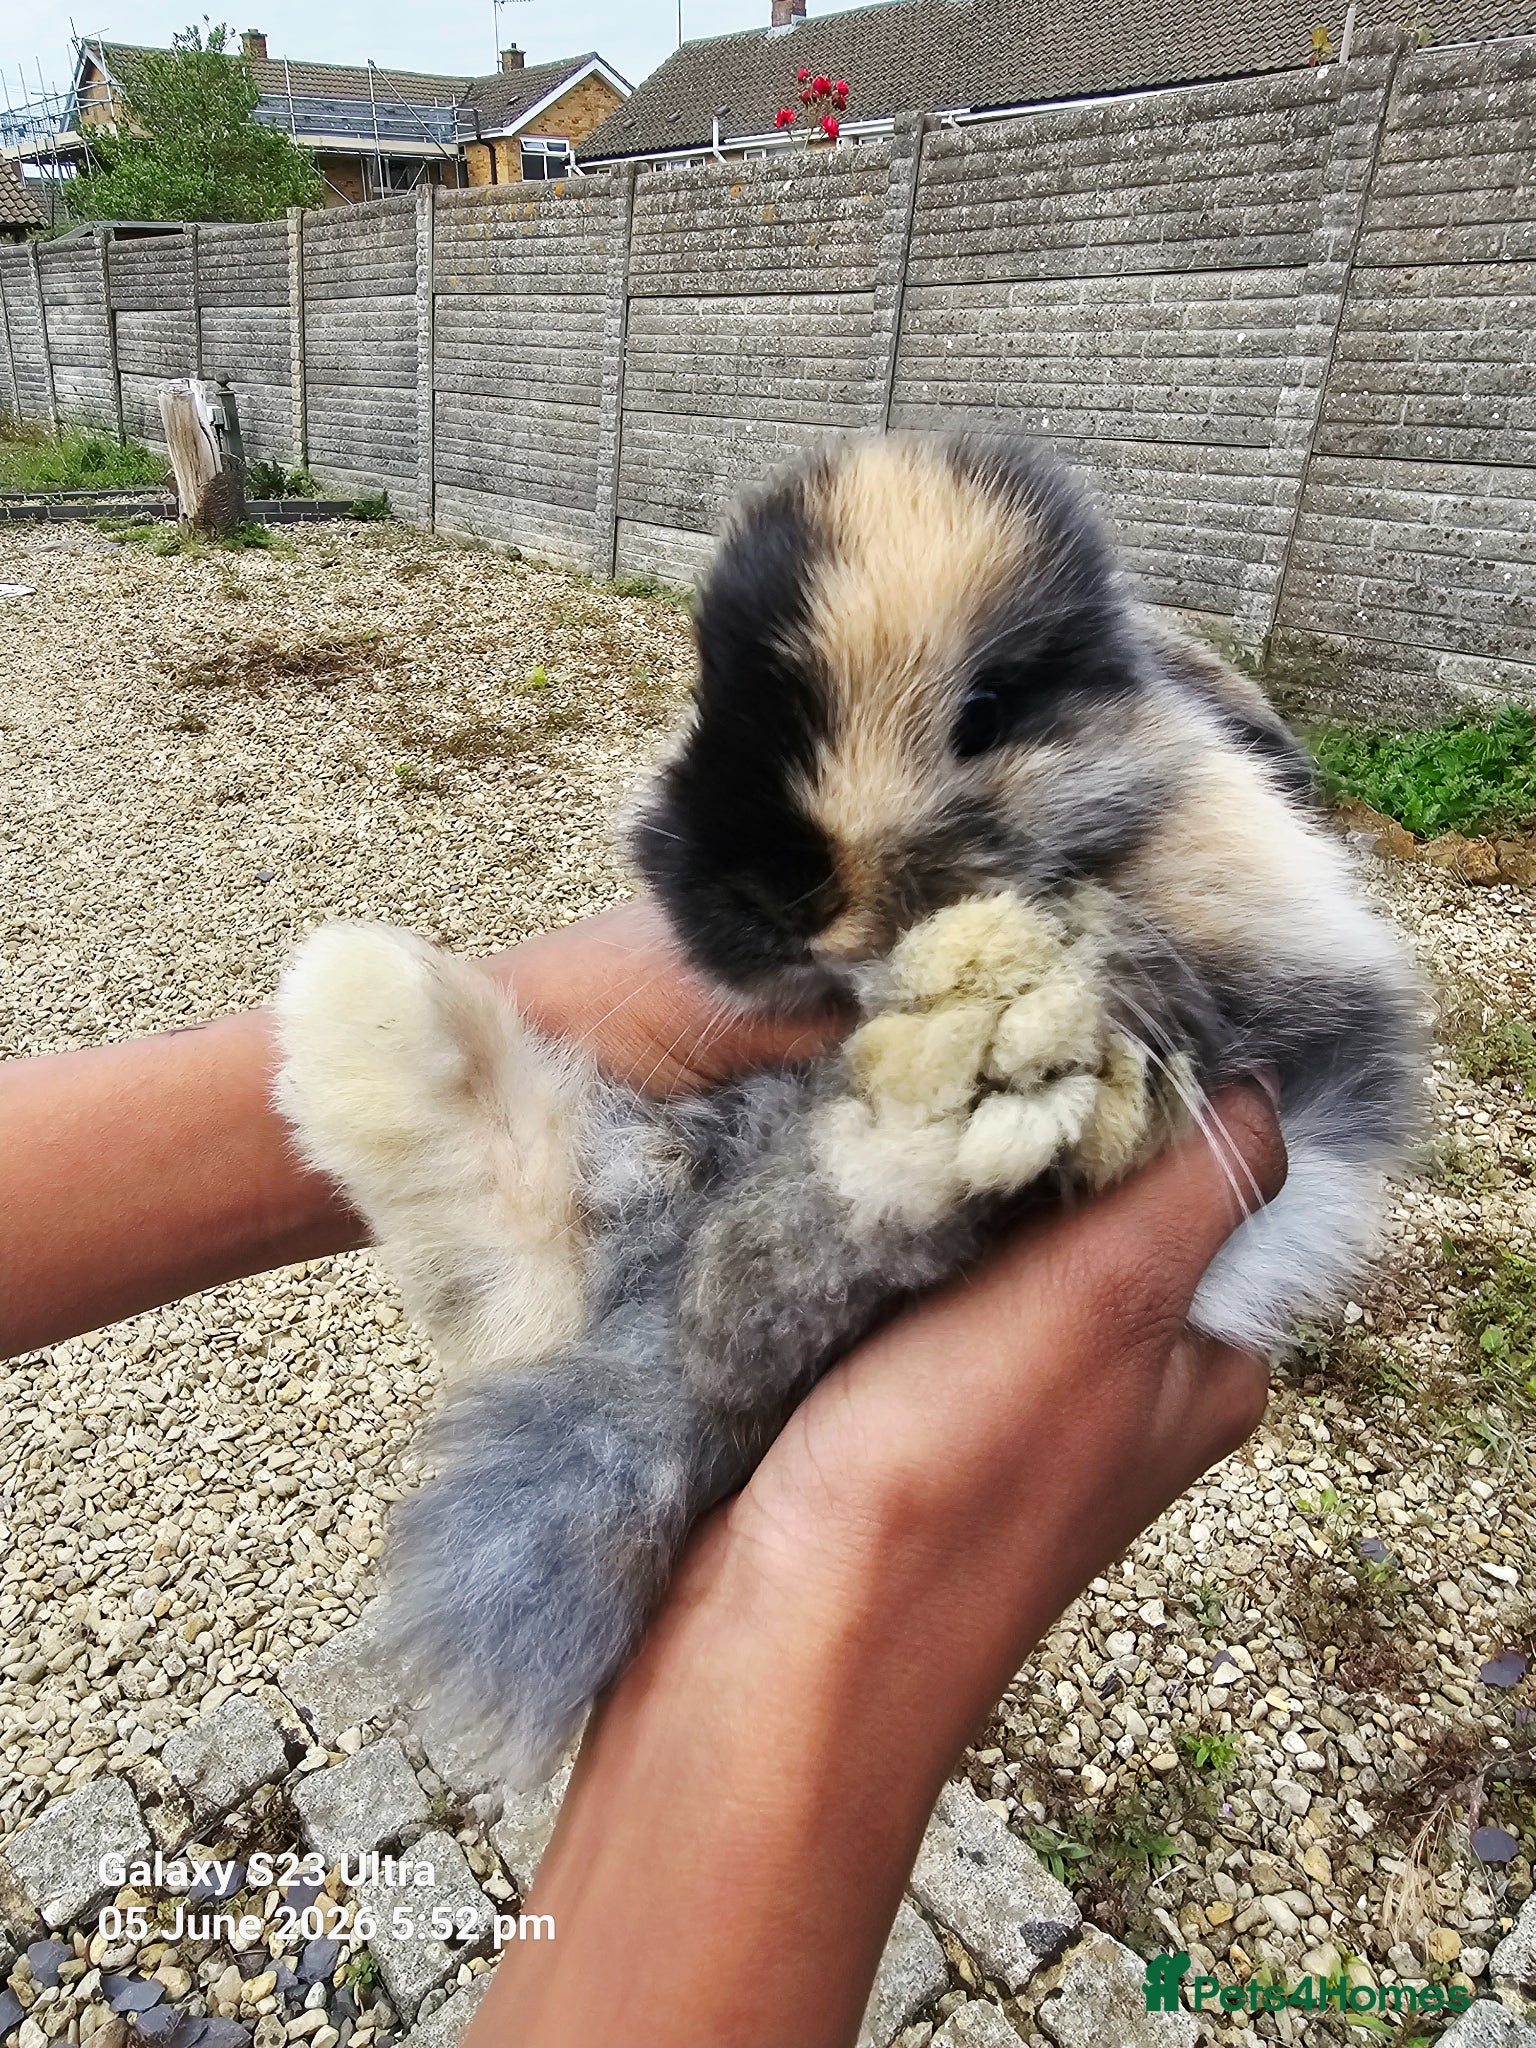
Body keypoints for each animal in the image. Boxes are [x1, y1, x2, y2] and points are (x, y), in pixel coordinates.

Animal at [274, 432, 1423, 1788]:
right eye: (709, 696)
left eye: (987, 711)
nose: (772, 890)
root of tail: (651, 1333)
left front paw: (1015, 994)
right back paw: (361, 1012)